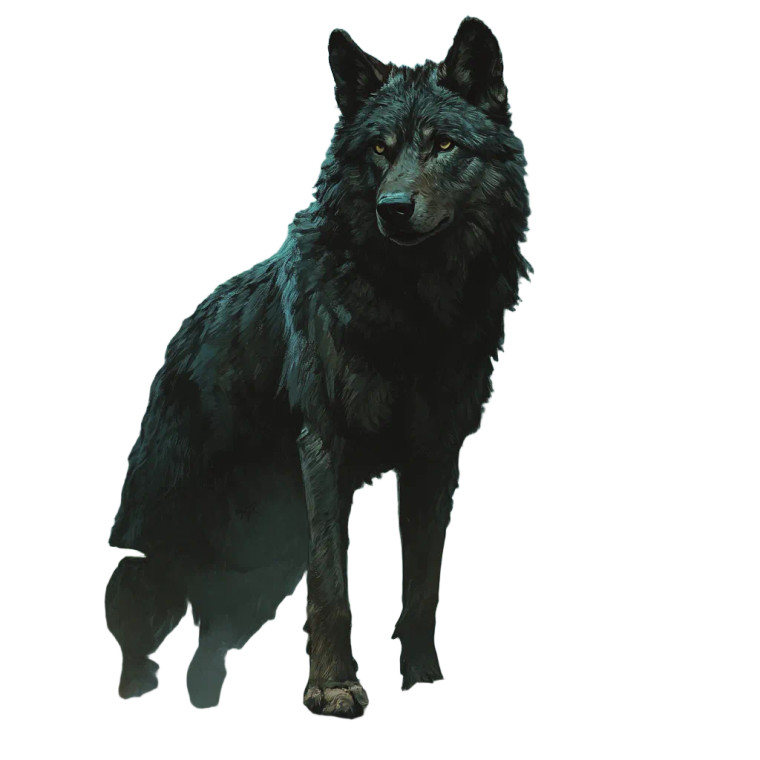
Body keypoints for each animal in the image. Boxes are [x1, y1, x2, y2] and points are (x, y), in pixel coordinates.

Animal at [105, 16, 531, 718]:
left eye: (443, 144)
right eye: (380, 149)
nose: (393, 207)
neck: (410, 312)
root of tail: (173, 348)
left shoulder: (435, 455)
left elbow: (424, 584)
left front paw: (423, 680)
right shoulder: (324, 448)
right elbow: (333, 588)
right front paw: (333, 689)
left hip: (262, 574)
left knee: (207, 650)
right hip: (156, 556)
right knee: (136, 624)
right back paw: (139, 691)